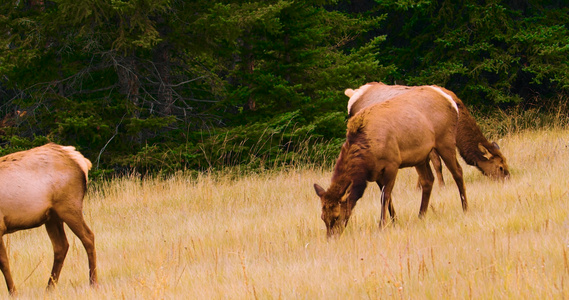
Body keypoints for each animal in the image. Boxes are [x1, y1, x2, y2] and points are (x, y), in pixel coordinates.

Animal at [0, 144, 96, 296]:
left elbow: (4, 262)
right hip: (52, 217)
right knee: (61, 246)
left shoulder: (0, 225)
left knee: (88, 237)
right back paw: (49, 287)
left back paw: (93, 283)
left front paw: (13, 292)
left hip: (69, 207)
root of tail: (80, 160)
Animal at [316, 85, 466, 238]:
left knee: (458, 171)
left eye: (336, 216)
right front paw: (394, 221)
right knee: (428, 180)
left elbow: (385, 196)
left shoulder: (392, 164)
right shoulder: (376, 173)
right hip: (421, 156)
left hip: (445, 141)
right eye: (322, 217)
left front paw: (382, 225)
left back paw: (465, 208)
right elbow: (387, 198)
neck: (367, 157)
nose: (331, 237)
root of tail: (450, 101)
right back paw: (421, 215)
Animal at [346, 81, 510, 183]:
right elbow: (437, 164)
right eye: (500, 167)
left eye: (506, 162)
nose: (508, 178)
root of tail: (353, 94)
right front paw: (441, 186)